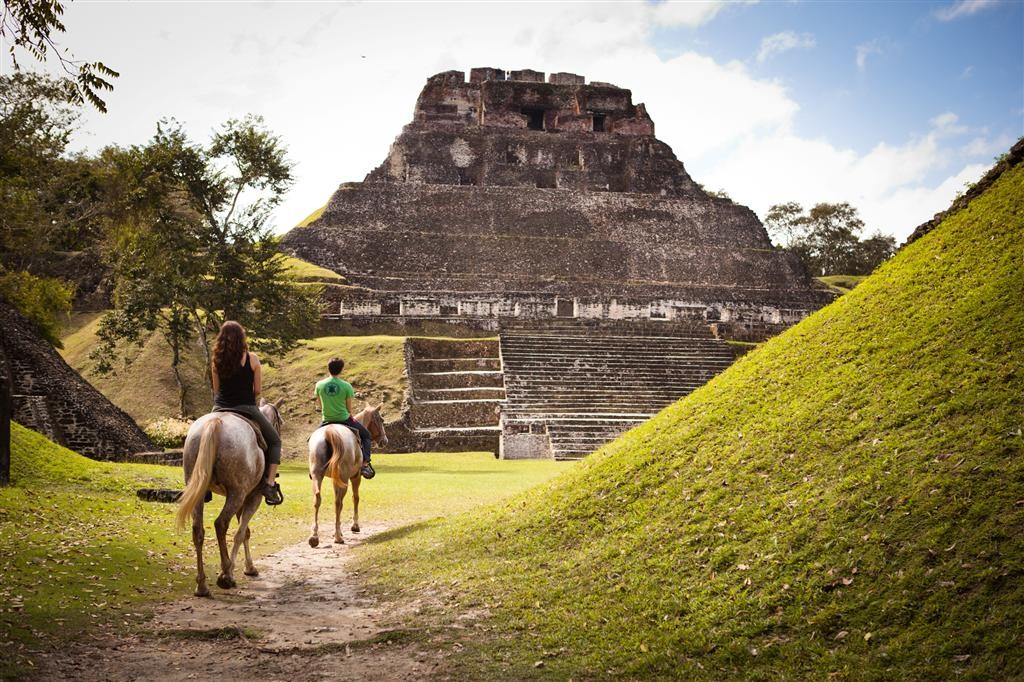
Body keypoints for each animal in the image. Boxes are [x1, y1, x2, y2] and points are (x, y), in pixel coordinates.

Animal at [173, 395, 282, 593]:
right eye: (281, 421)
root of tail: (216, 422)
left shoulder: (244, 498)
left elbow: (245, 532)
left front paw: (249, 567)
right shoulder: (252, 497)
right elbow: (241, 532)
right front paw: (234, 569)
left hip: (201, 492)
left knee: (198, 530)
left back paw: (202, 585)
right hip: (236, 494)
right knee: (221, 524)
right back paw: (225, 575)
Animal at [307, 403, 387, 548]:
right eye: (381, 420)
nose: (385, 440)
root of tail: (330, 431)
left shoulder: (335, 479)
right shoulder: (356, 476)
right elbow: (356, 498)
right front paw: (354, 526)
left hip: (317, 475)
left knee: (318, 499)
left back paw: (314, 537)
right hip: (344, 478)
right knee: (338, 503)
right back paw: (338, 537)